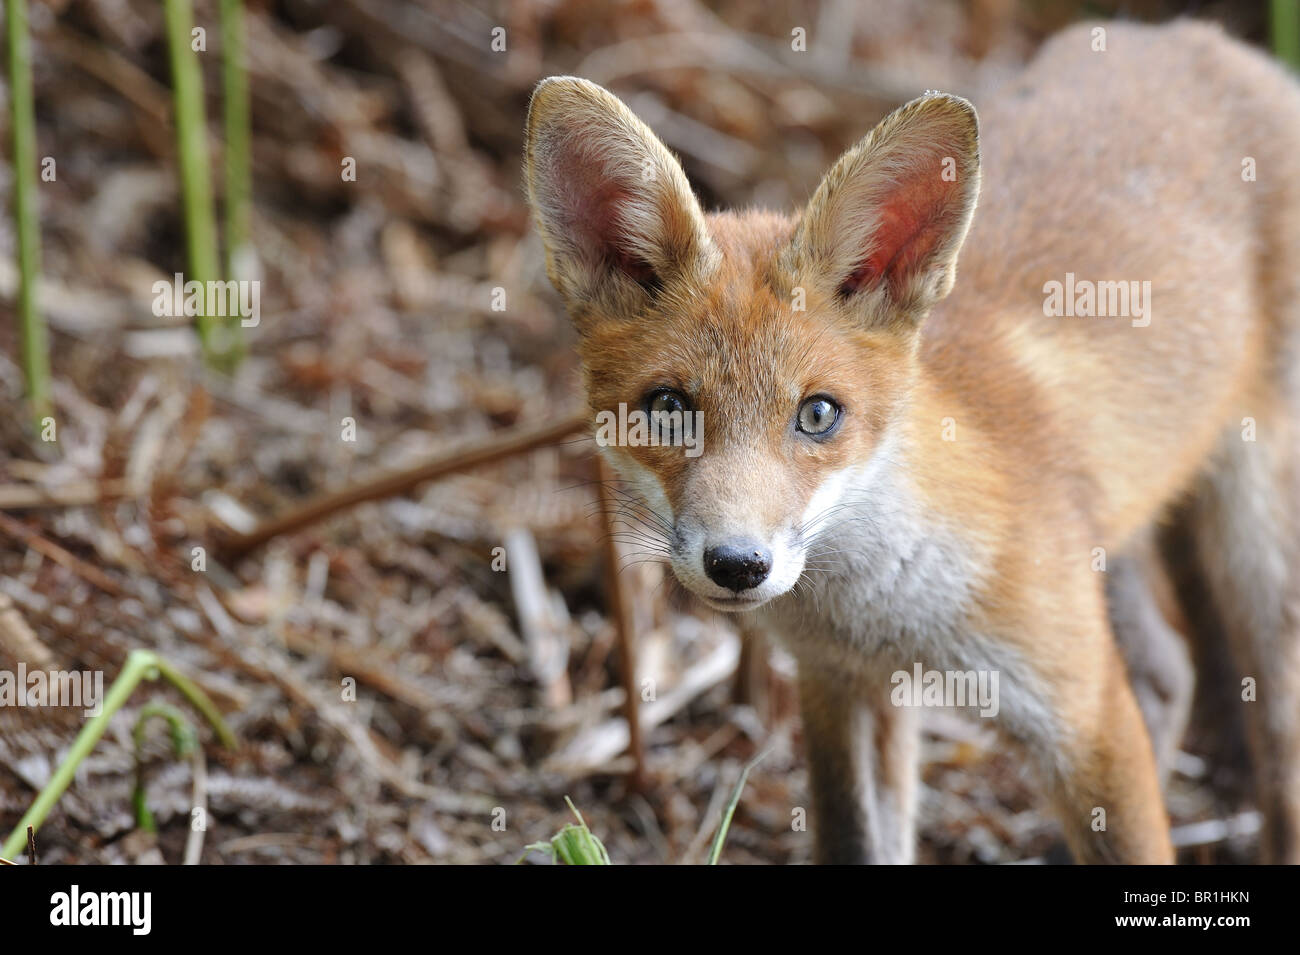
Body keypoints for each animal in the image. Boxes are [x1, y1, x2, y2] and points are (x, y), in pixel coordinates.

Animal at [523, 20, 1300, 864]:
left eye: (818, 414)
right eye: (669, 408)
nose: (737, 563)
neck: (887, 611)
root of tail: (1200, 37)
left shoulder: (1085, 710)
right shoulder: (842, 685)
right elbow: (859, 838)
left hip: (1258, 553)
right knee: (1167, 672)